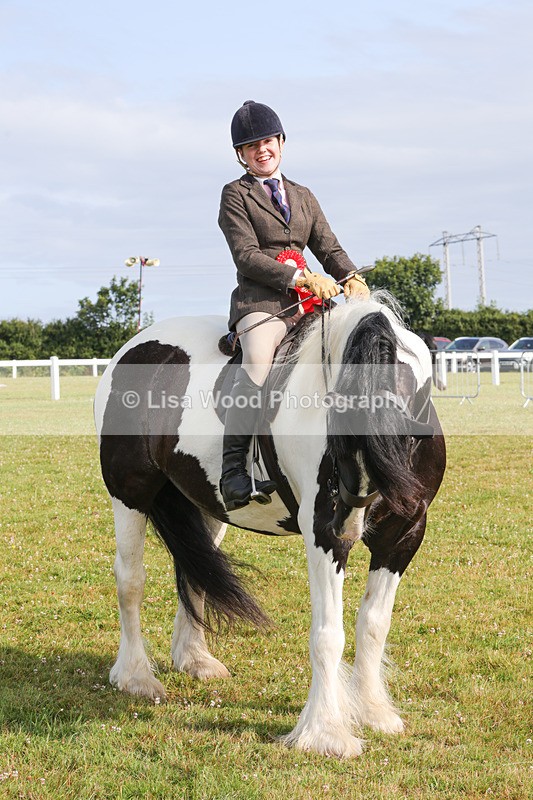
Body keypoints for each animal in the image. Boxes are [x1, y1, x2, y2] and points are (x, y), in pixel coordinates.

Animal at [94, 295, 446, 758]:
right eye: (334, 424)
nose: (349, 522)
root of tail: (134, 347)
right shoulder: (322, 536)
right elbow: (327, 634)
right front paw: (326, 733)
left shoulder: (403, 536)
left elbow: (374, 623)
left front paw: (373, 712)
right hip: (129, 494)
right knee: (130, 580)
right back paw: (135, 676)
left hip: (207, 504)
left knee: (195, 570)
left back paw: (196, 660)